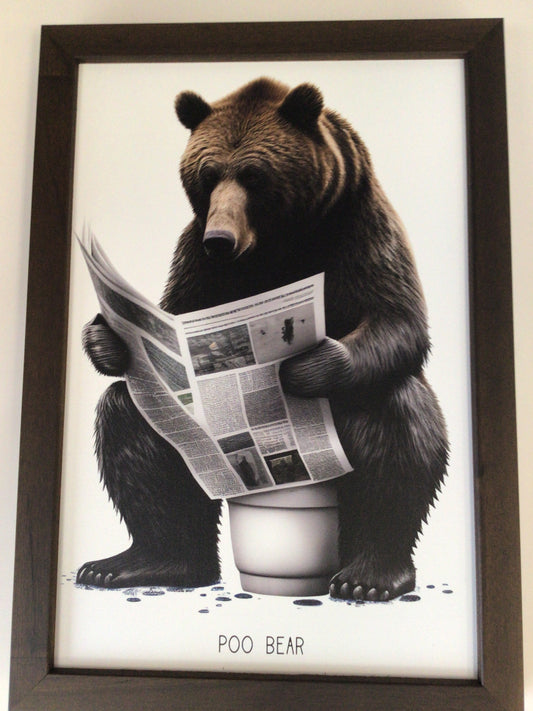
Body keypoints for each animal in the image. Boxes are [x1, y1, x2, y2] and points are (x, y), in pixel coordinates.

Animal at [76, 77, 448, 601]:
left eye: (254, 175)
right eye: (208, 174)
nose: (221, 238)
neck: (275, 247)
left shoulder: (357, 224)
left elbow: (398, 318)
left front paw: (302, 366)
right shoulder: (198, 260)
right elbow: (172, 316)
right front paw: (106, 338)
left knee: (395, 426)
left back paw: (369, 576)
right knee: (132, 425)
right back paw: (138, 564)